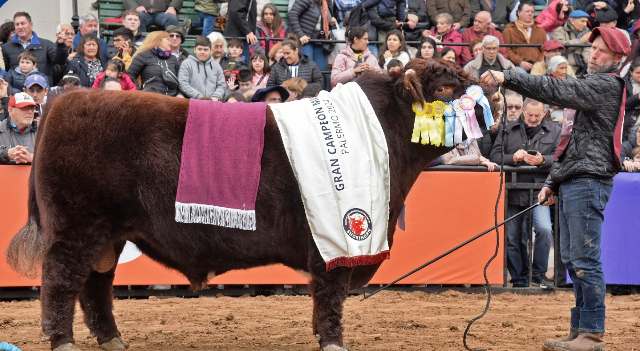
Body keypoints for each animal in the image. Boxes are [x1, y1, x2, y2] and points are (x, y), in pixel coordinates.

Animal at [3, 59, 496, 350]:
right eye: (447, 88)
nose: (488, 94)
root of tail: (71, 98)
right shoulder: (334, 241)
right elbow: (331, 298)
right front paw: (333, 341)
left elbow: (324, 300)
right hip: (77, 227)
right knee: (62, 280)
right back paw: (62, 340)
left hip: (108, 234)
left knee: (95, 285)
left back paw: (112, 341)